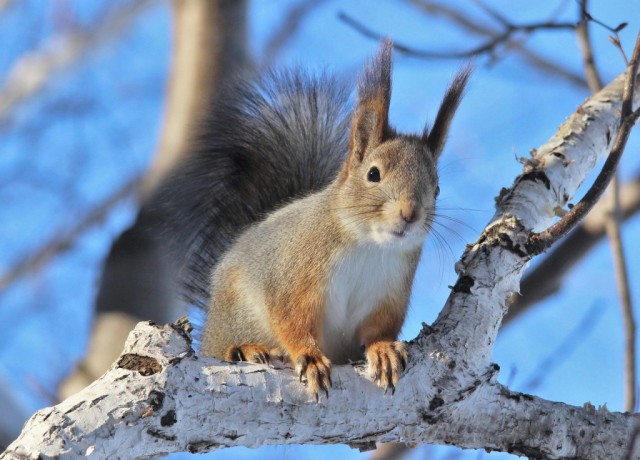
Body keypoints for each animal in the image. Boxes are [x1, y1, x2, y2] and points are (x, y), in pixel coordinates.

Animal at [153, 39, 472, 398]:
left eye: (437, 188)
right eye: (373, 174)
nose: (409, 214)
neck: (369, 245)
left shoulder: (389, 297)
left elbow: (377, 330)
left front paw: (384, 350)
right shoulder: (294, 279)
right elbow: (292, 320)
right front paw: (310, 357)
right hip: (236, 318)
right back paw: (245, 349)